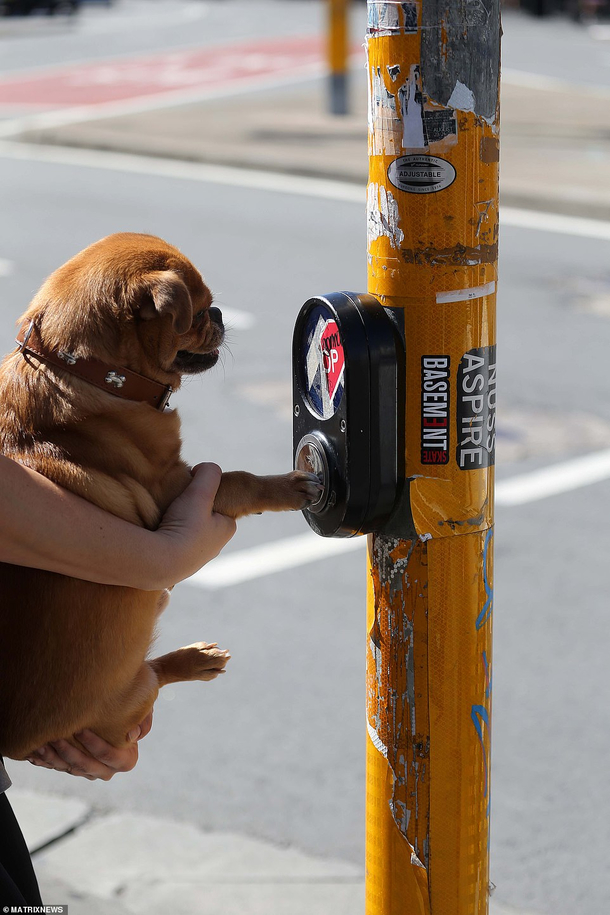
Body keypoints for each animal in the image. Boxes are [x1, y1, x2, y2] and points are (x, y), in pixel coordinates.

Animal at [0, 234, 318, 760]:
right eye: (199, 310)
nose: (220, 314)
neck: (88, 373)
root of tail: (18, 743)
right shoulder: (180, 492)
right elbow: (240, 478)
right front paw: (288, 486)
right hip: (134, 696)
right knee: (154, 675)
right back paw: (190, 662)